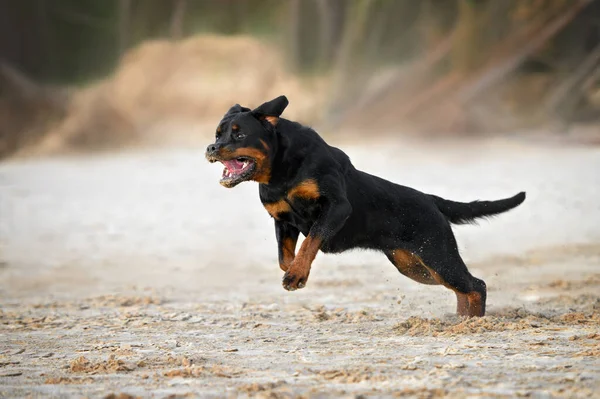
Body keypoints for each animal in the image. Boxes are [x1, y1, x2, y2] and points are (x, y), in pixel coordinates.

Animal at [206, 95, 524, 318]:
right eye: (217, 133)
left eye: (239, 134)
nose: (211, 148)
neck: (281, 169)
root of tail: (430, 199)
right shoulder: (281, 219)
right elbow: (286, 256)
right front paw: (295, 271)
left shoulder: (336, 207)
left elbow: (310, 242)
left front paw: (297, 276)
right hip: (416, 266)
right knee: (462, 288)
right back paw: (461, 319)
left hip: (437, 255)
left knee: (475, 285)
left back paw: (473, 322)